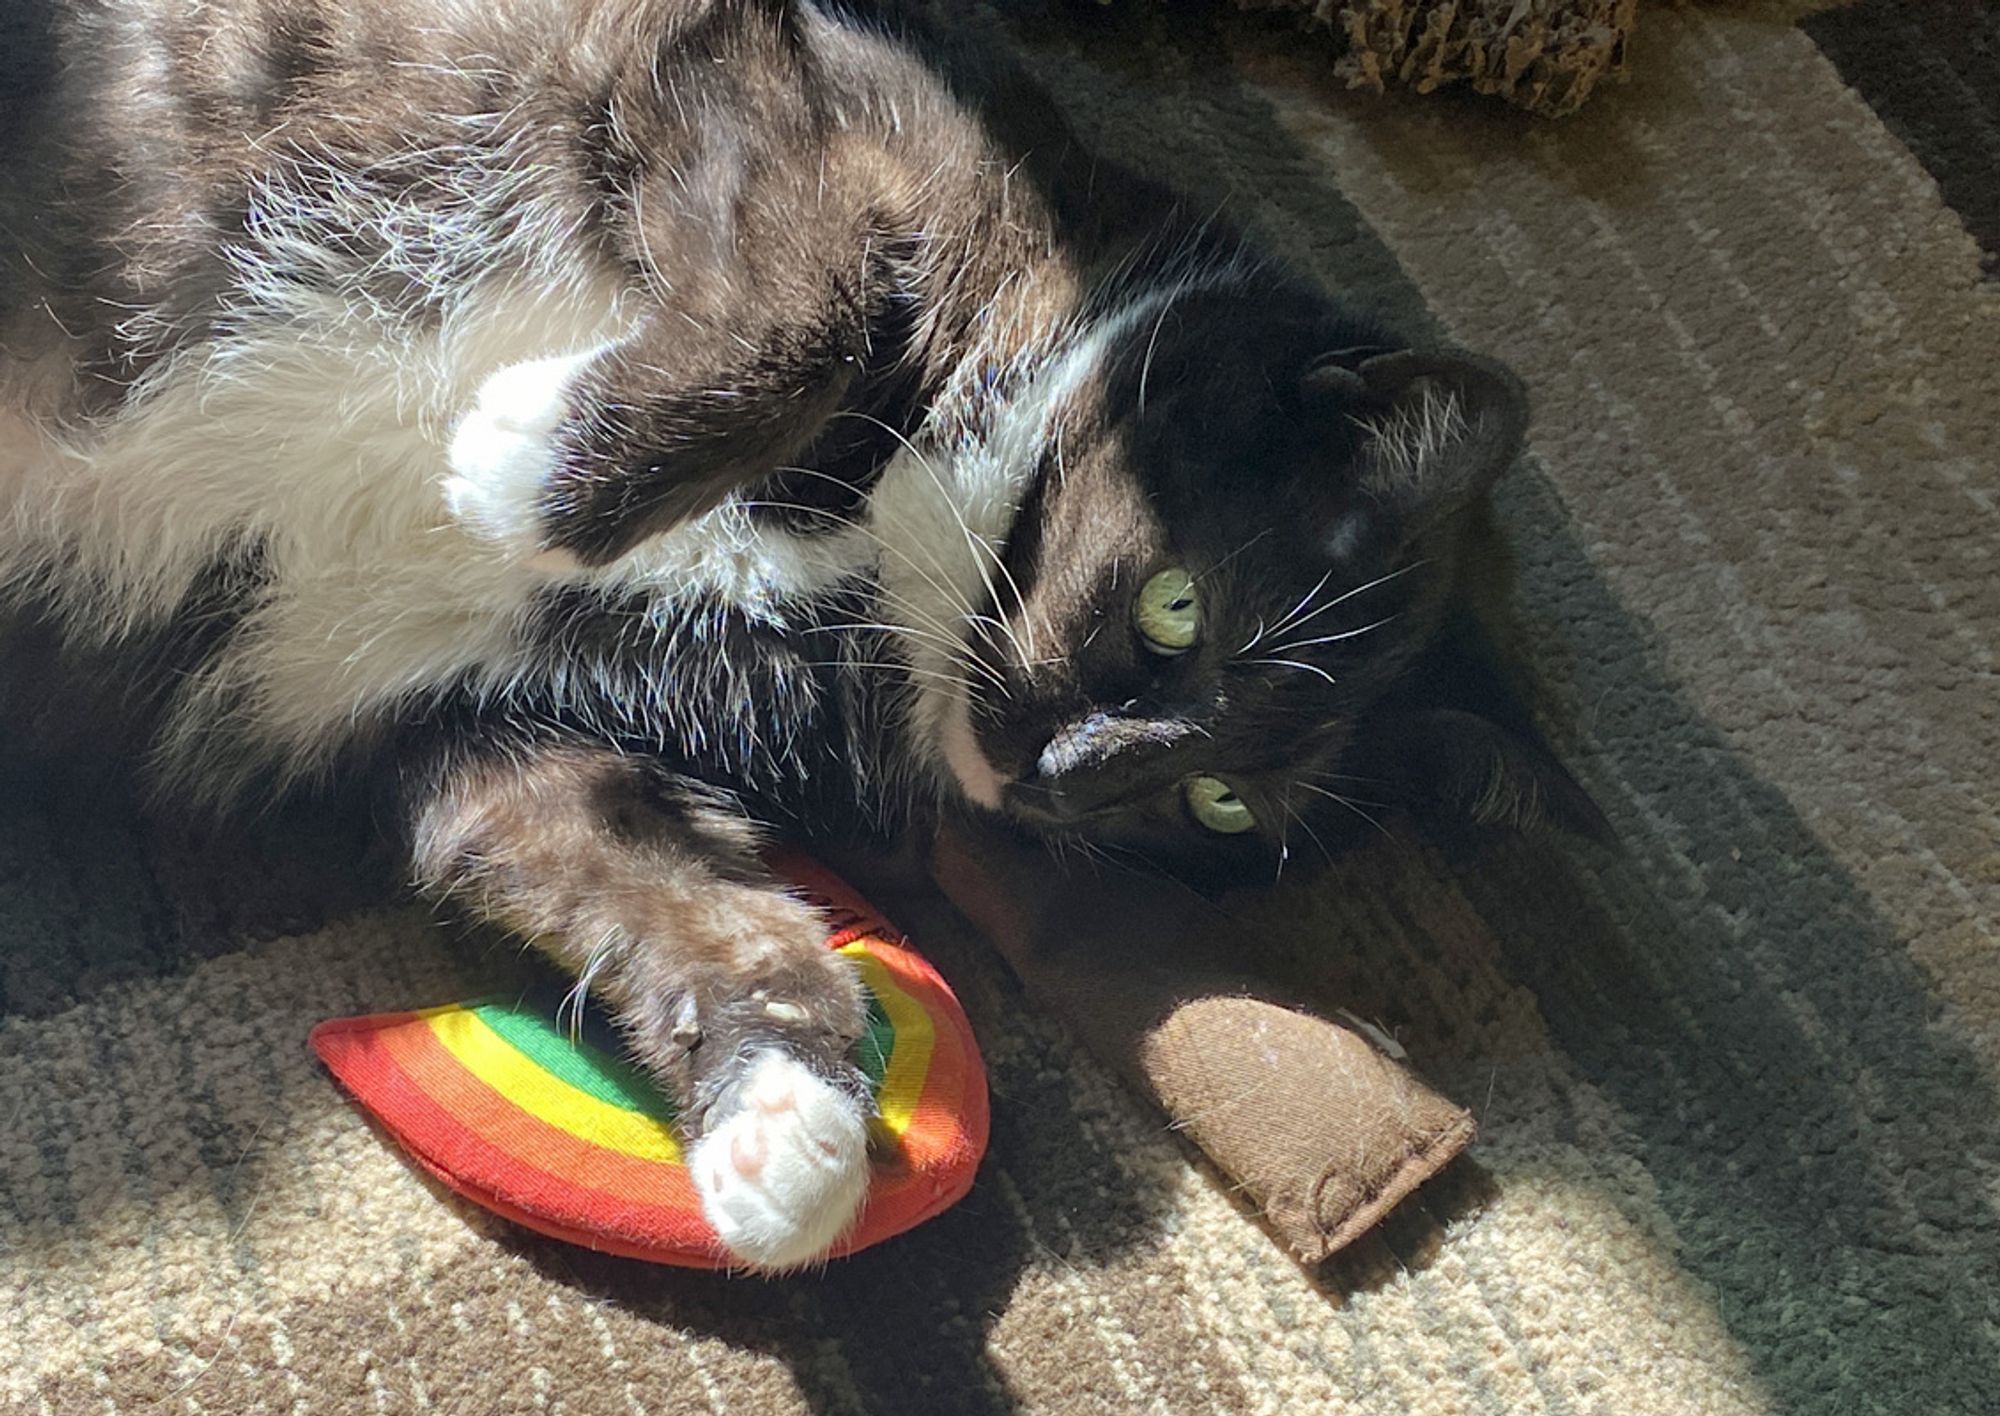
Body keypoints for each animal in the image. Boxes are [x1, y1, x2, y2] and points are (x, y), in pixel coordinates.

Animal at [0, 0, 1592, 1264]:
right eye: (1176, 605)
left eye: (1217, 803)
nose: (1063, 775)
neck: (874, 540)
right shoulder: (730, 69)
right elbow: (815, 298)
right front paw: (521, 463)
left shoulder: (461, 712)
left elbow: (657, 885)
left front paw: (786, 1112)